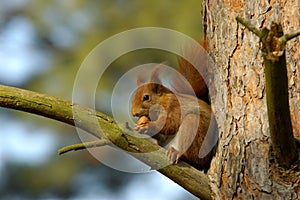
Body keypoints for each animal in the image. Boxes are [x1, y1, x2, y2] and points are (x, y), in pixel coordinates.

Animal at [131, 41, 216, 170]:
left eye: (146, 97)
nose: (133, 113)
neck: (162, 101)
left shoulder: (174, 107)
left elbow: (170, 123)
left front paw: (149, 126)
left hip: (195, 131)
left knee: (194, 159)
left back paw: (179, 154)